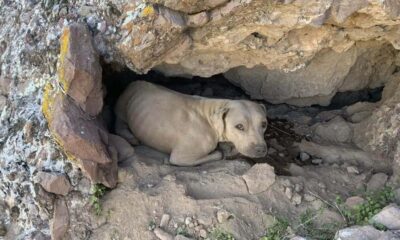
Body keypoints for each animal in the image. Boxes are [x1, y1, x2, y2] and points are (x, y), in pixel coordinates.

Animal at [114, 80, 268, 165]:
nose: (261, 149)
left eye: (264, 124)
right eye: (239, 126)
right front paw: (221, 151)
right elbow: (218, 154)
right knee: (119, 123)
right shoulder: (181, 157)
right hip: (123, 105)